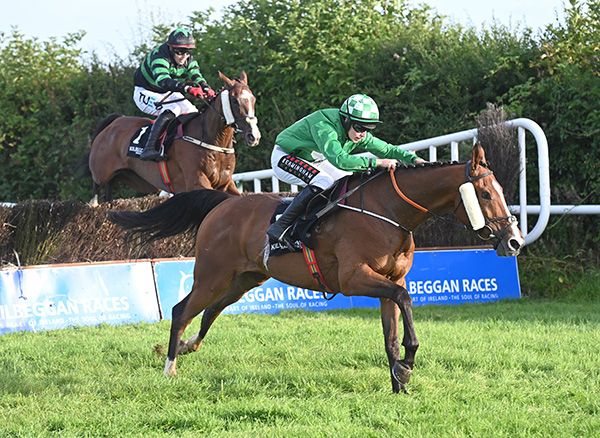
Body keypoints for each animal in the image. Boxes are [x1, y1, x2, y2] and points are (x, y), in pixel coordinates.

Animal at [87, 71, 260, 204]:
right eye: (235, 101)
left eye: (253, 99)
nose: (254, 136)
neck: (213, 140)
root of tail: (115, 121)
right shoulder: (196, 182)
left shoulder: (226, 182)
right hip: (101, 172)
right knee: (96, 186)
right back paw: (93, 205)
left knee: (109, 189)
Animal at [110, 144, 524, 394]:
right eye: (485, 194)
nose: (513, 241)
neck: (388, 211)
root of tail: (222, 204)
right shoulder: (355, 279)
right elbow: (405, 301)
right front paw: (407, 364)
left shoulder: (388, 279)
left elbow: (392, 329)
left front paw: (399, 381)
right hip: (213, 274)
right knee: (182, 309)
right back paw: (170, 365)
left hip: (243, 279)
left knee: (210, 311)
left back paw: (187, 347)